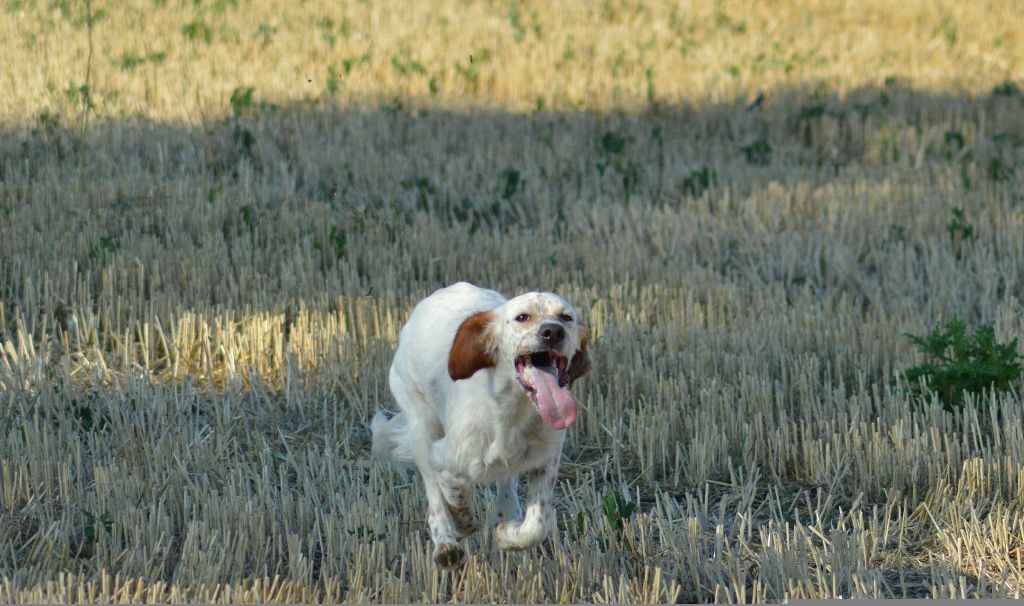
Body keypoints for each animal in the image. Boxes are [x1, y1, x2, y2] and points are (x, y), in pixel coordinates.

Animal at [370, 282, 593, 565]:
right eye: (522, 317)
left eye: (566, 317)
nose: (553, 331)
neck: (512, 412)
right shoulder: (442, 455)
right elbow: (453, 488)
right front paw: (461, 523)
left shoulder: (547, 461)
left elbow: (535, 526)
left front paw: (508, 535)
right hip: (420, 425)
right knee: (434, 494)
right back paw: (446, 544)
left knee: (506, 484)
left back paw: (504, 512)